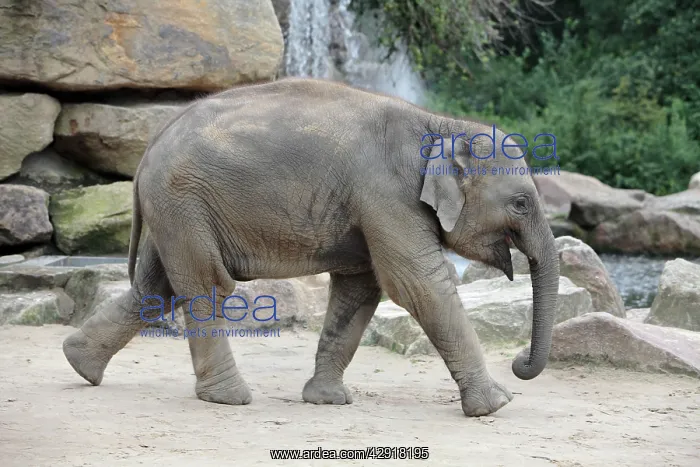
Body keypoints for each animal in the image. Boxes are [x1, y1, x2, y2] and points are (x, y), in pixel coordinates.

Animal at [62, 77, 559, 417]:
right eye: (521, 203)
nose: (519, 363)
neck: (440, 124)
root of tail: (152, 142)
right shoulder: (386, 195)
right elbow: (417, 284)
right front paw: (496, 404)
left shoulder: (373, 206)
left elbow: (360, 288)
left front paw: (327, 400)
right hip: (182, 200)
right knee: (206, 284)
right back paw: (229, 399)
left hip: (172, 209)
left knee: (154, 288)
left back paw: (80, 365)